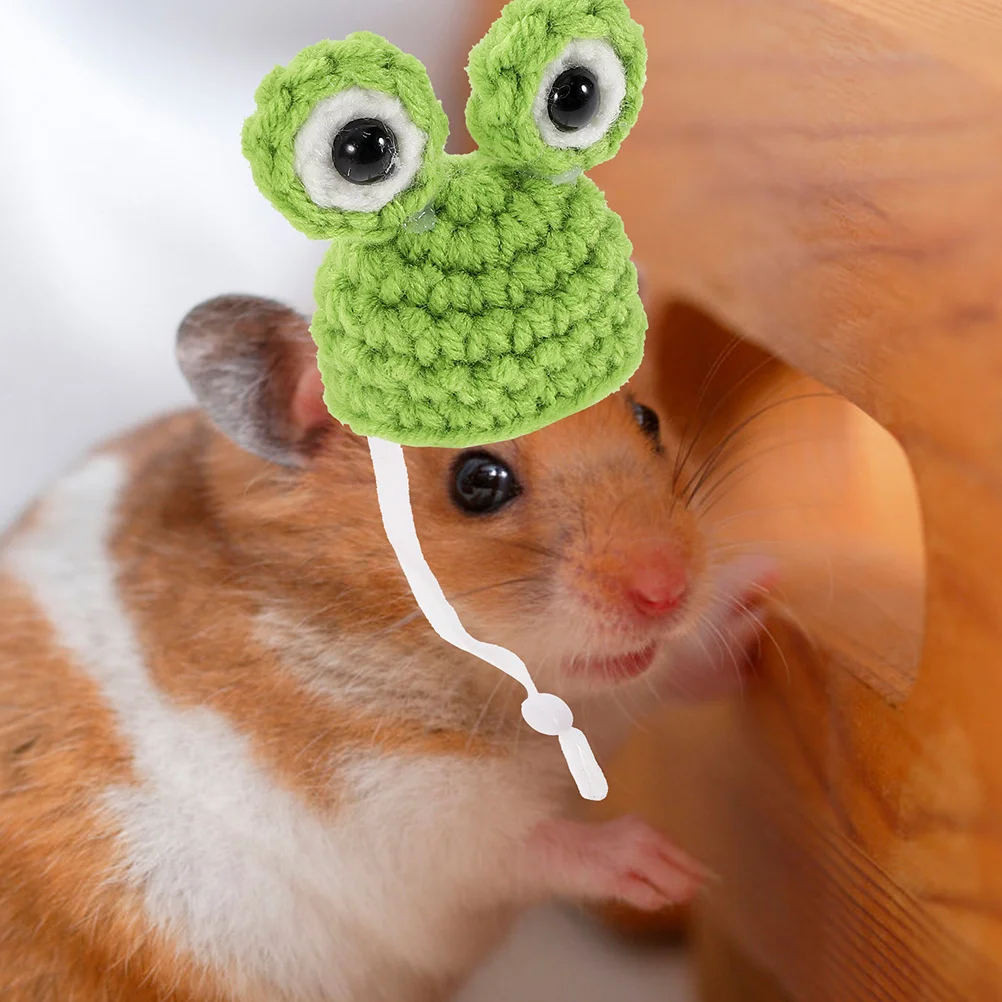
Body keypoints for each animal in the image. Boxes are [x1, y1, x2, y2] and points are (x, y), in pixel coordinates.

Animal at [0, 294, 773, 1002]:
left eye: (648, 419)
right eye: (477, 481)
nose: (668, 591)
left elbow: (648, 681)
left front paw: (756, 605)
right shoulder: (395, 810)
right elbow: (521, 844)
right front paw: (674, 869)